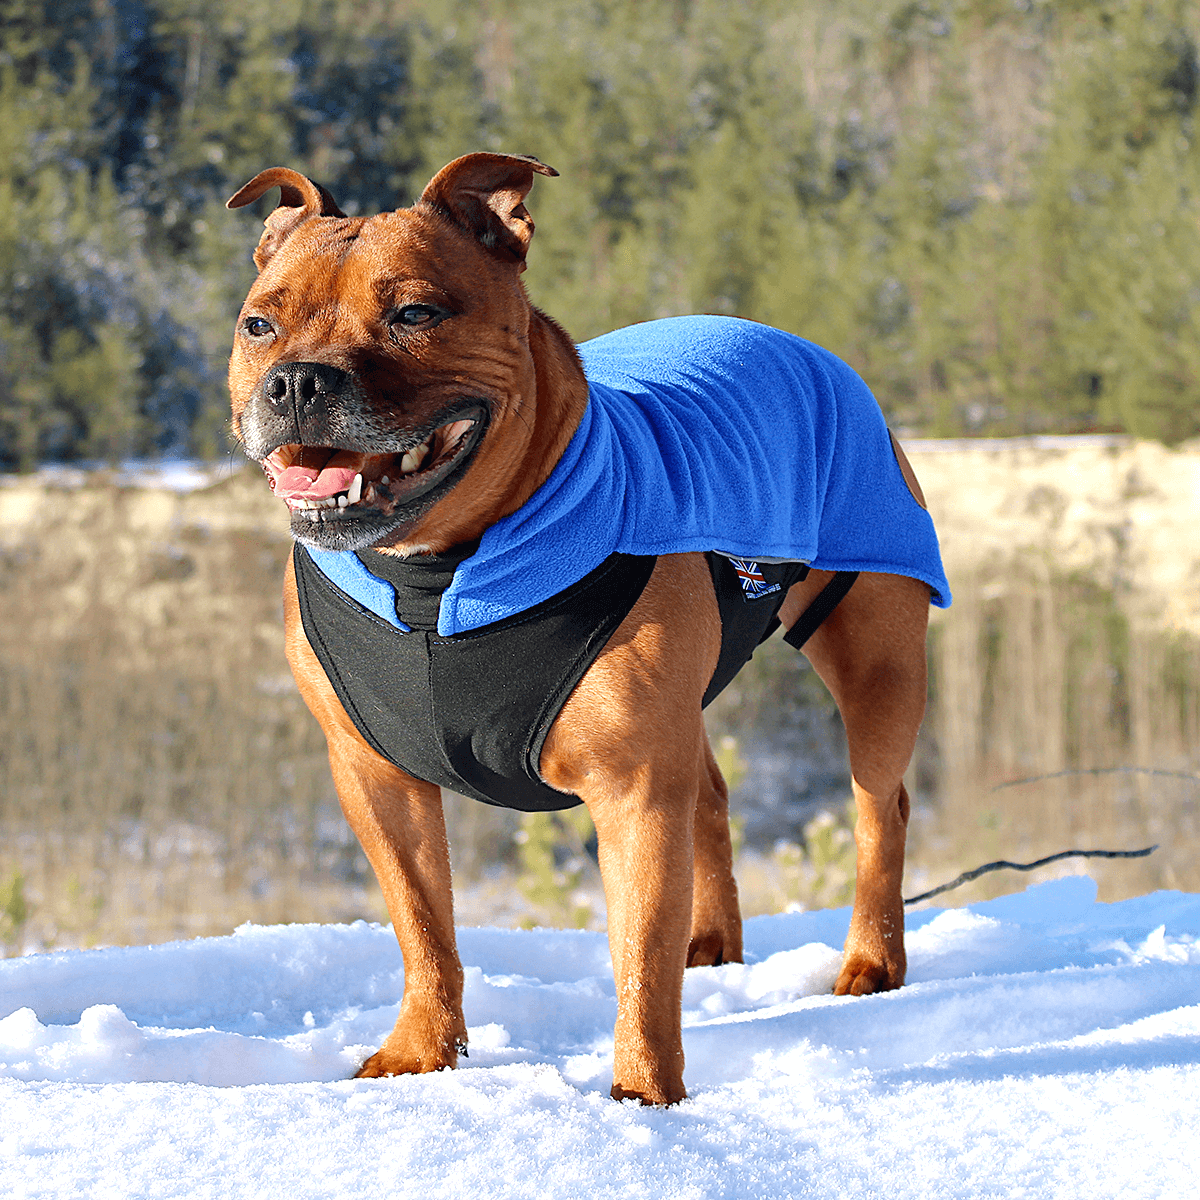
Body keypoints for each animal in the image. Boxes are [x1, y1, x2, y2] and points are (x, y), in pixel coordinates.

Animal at [225, 152, 936, 1104]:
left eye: (415, 314)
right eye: (259, 324)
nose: (298, 380)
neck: (436, 575)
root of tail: (790, 341)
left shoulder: (633, 788)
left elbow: (639, 952)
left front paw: (643, 1097)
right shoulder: (374, 778)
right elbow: (423, 925)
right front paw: (422, 1053)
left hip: (875, 659)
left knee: (878, 805)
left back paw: (870, 959)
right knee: (713, 796)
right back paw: (714, 943)